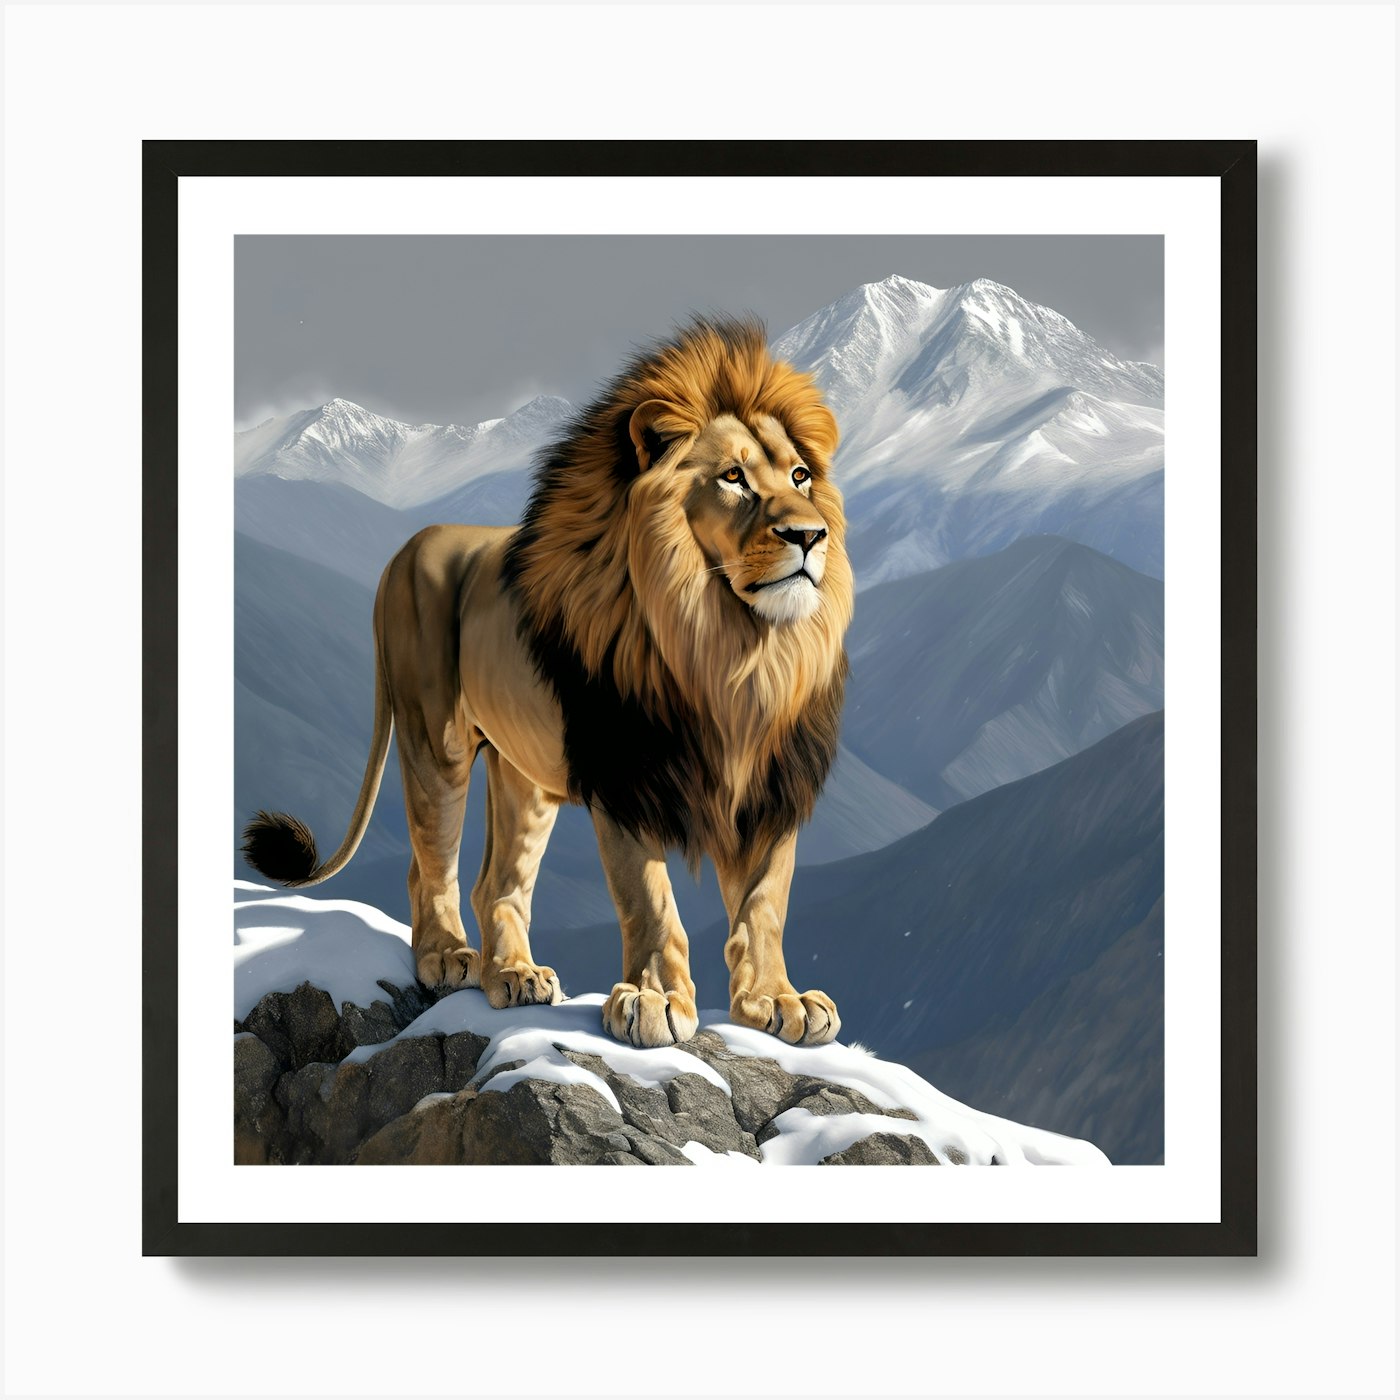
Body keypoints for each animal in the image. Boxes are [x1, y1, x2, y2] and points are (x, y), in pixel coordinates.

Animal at [242, 318, 853, 1048]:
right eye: (733, 478)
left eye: (800, 476)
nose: (809, 535)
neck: (734, 652)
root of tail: (401, 552)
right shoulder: (624, 774)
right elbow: (650, 898)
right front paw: (654, 1001)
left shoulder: (772, 782)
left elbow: (765, 902)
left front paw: (778, 1002)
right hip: (435, 739)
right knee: (431, 863)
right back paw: (448, 957)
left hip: (523, 777)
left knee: (497, 884)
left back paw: (515, 976)